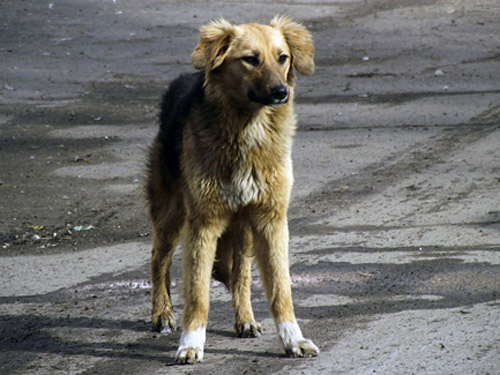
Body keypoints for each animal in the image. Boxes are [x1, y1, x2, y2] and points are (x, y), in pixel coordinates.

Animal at [145, 14, 318, 364]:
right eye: (250, 59)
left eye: (283, 58)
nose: (281, 92)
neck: (247, 129)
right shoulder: (203, 224)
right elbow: (198, 293)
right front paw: (191, 344)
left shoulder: (270, 220)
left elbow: (280, 290)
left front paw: (293, 340)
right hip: (171, 213)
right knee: (159, 259)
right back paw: (162, 314)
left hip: (242, 229)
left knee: (240, 275)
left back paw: (245, 320)